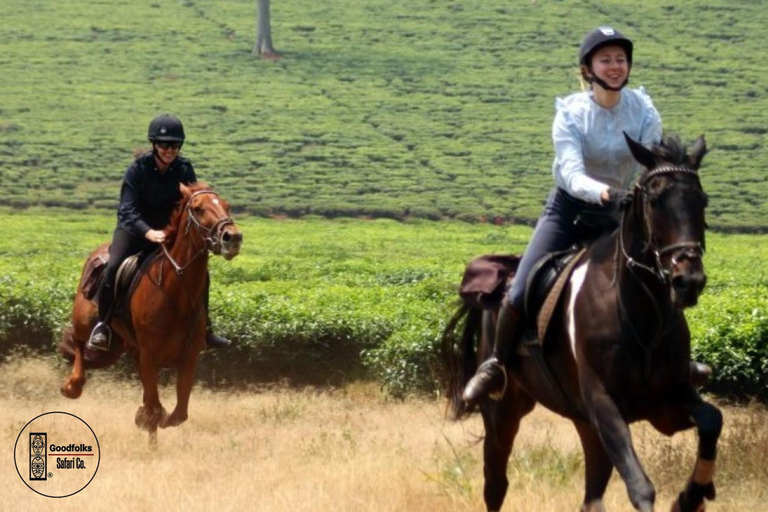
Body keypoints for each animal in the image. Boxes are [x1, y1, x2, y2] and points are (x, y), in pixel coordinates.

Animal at [60, 182, 243, 442]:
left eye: (227, 206)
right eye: (198, 209)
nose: (232, 238)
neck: (175, 292)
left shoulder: (187, 358)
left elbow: (177, 413)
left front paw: (146, 419)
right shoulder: (149, 356)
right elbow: (155, 408)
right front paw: (147, 420)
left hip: (122, 348)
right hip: (86, 320)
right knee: (76, 340)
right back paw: (72, 385)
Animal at [440, 135, 724, 512]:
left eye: (701, 200)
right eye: (654, 201)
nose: (688, 280)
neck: (640, 316)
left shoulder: (667, 400)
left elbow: (712, 420)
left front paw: (692, 495)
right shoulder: (603, 403)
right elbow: (640, 487)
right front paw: (685, 496)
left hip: (584, 424)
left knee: (591, 497)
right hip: (503, 411)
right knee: (496, 484)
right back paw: (487, 377)